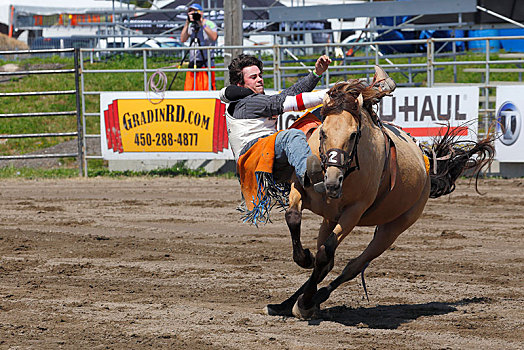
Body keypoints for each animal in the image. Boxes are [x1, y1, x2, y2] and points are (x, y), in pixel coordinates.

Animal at [266, 80, 496, 320]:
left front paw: (305, 302)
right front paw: (303, 258)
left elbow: (324, 254)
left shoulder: (353, 213)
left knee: (351, 266)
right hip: (330, 219)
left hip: (392, 229)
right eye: (323, 133)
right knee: (327, 262)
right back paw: (286, 303)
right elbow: (293, 218)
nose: (332, 182)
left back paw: (312, 300)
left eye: (353, 135)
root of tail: (427, 169)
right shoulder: (299, 189)